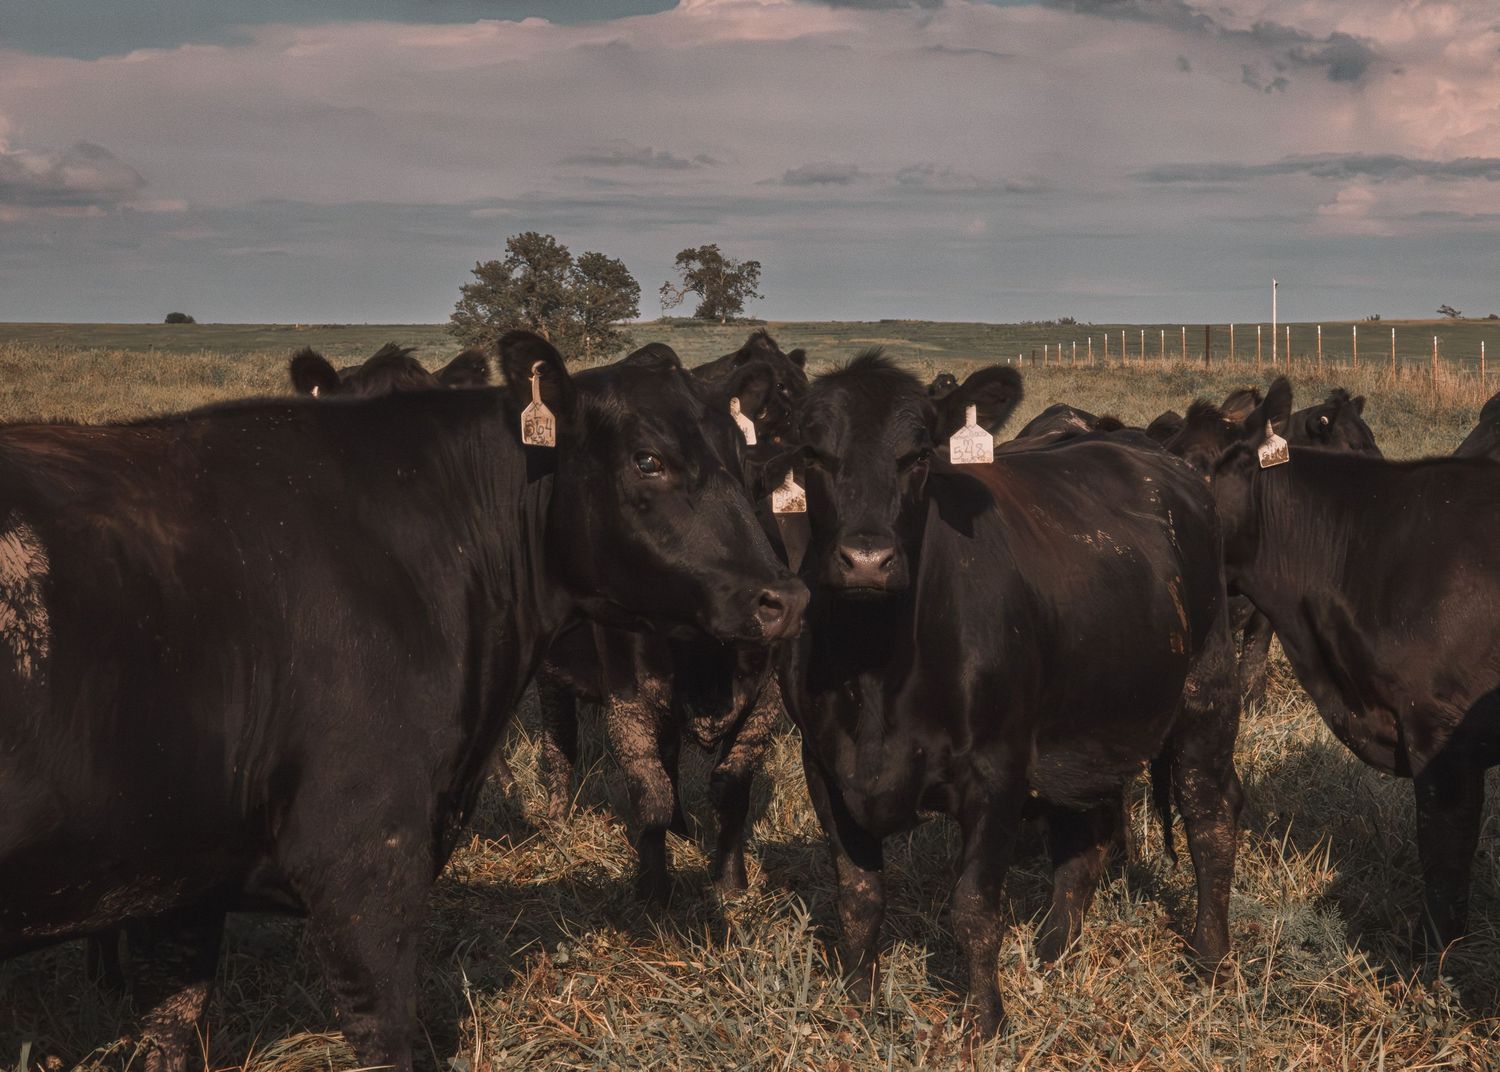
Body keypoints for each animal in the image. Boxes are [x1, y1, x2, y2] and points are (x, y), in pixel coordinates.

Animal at [533, 331, 810, 903]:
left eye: (755, 488)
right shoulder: (626, 693)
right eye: (648, 463)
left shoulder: (766, 697)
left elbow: (729, 787)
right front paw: (653, 892)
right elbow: (650, 791)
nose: (782, 601)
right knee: (559, 740)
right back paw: (553, 817)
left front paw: (729, 882)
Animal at [778, 352, 1242, 1034]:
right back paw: (1053, 949)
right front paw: (858, 1008)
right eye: (811, 452)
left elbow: (973, 908)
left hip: (1207, 694)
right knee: (1088, 832)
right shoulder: (824, 765)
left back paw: (1209, 958)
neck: (876, 673)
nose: (867, 559)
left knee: (1209, 819)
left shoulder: (997, 769)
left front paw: (984, 1022)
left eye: (920, 454)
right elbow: (859, 897)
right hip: (1087, 724)